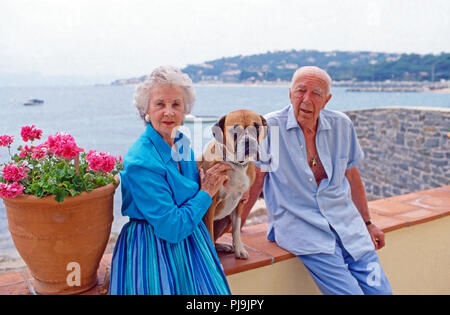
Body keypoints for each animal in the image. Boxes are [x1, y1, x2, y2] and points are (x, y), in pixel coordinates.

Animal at [198, 110, 268, 260]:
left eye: (257, 127)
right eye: (234, 131)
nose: (249, 141)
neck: (236, 165)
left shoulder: (239, 202)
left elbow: (236, 229)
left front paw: (239, 250)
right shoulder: (210, 205)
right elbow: (209, 233)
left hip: (226, 219)